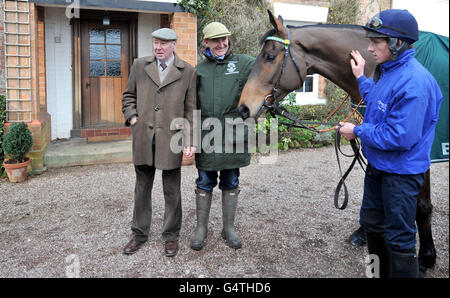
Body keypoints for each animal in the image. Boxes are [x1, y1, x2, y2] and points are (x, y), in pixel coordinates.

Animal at [237, 11, 438, 278]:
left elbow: (422, 206)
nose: (242, 108)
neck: (378, 68)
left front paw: (427, 256)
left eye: (270, 57)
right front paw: (363, 233)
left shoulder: (422, 157)